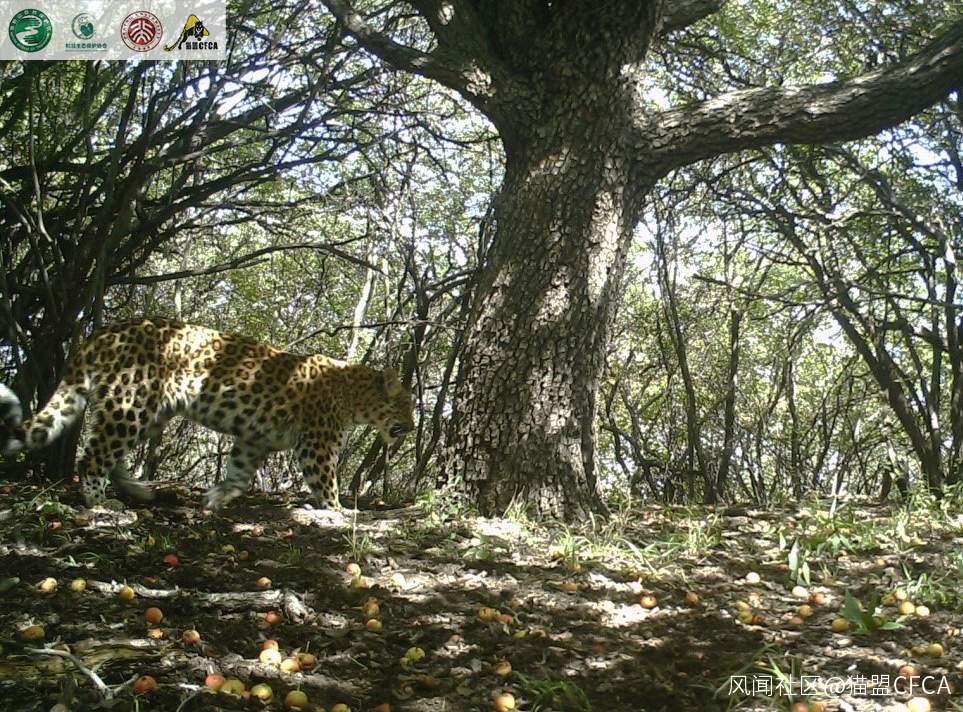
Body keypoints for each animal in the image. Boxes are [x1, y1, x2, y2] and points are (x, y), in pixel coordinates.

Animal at [0, 318, 415, 510]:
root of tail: (102, 331)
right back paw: (102, 504)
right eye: (406, 405)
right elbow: (325, 481)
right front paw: (338, 511)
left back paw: (137, 489)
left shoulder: (255, 438)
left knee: (111, 452)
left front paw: (218, 496)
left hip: (151, 411)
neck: (355, 394)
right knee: (94, 454)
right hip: (132, 402)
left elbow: (240, 472)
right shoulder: (318, 443)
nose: (411, 427)